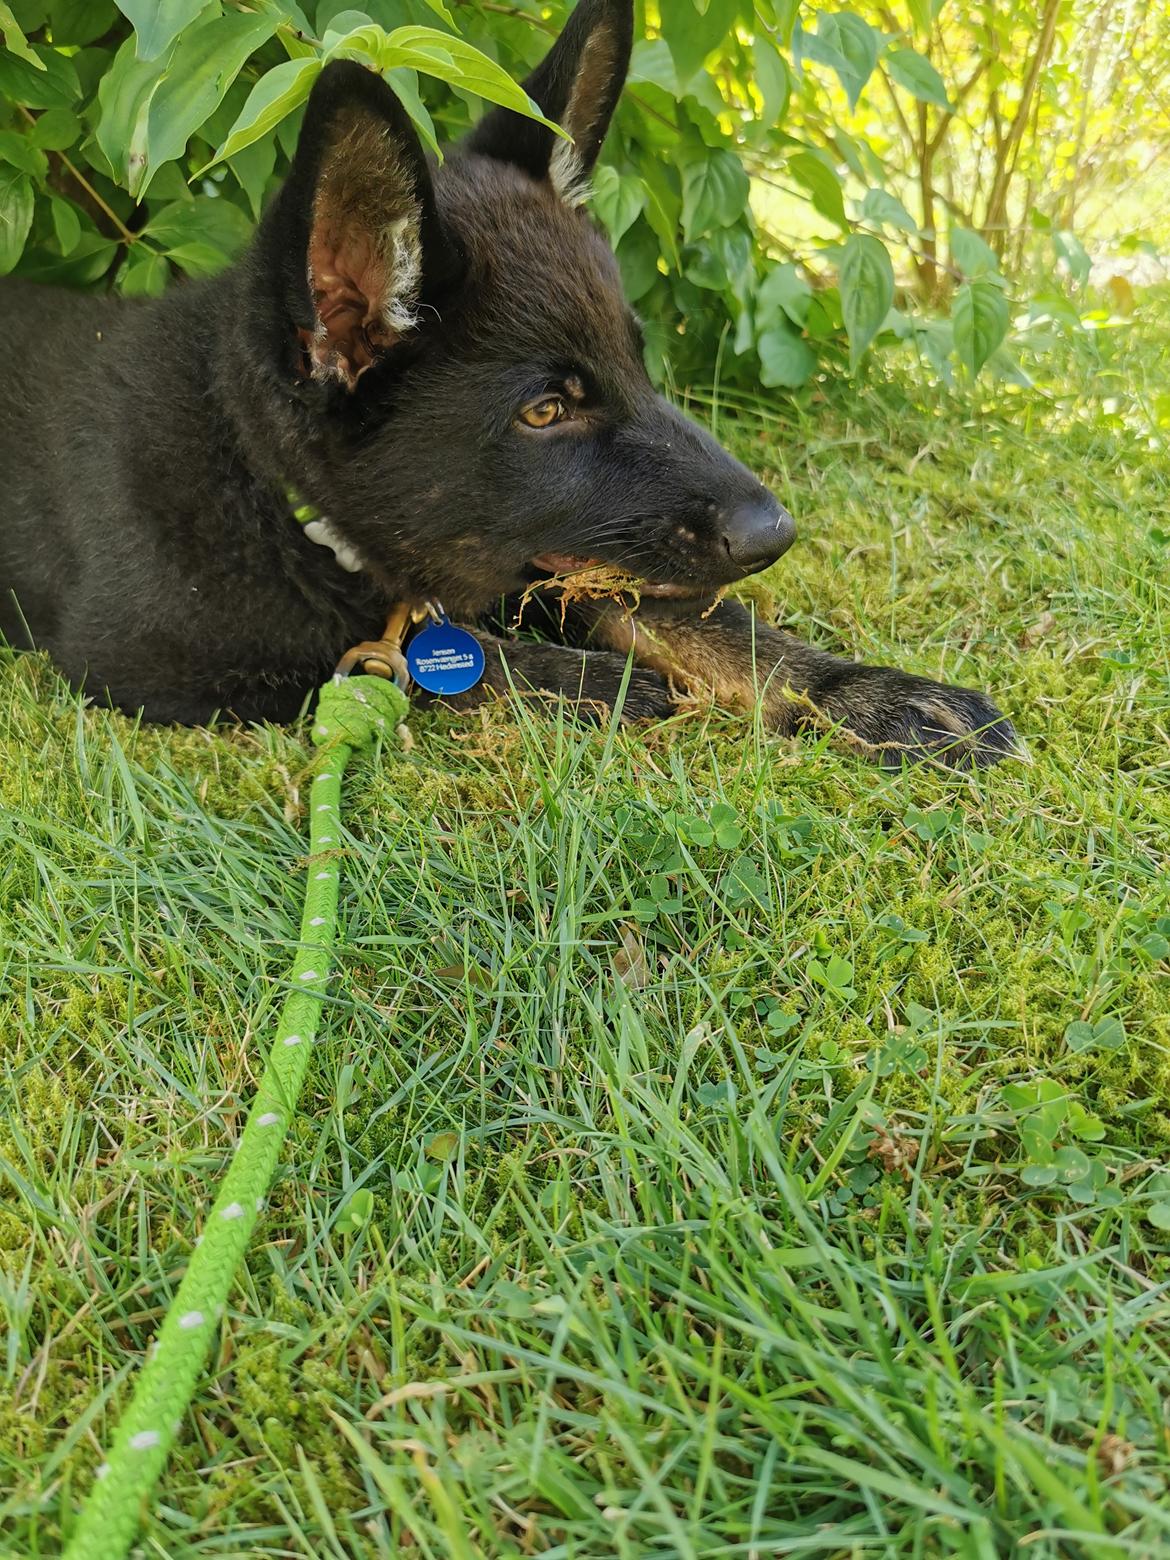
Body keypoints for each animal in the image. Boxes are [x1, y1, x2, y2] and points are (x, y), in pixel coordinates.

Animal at [0, 0, 1017, 767]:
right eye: (546, 411)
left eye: (637, 362)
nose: (777, 535)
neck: (265, 481)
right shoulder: (158, 658)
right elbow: (402, 657)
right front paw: (598, 684)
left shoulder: (562, 556)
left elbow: (699, 619)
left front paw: (857, 690)